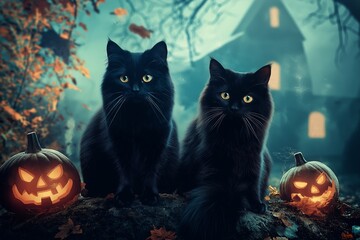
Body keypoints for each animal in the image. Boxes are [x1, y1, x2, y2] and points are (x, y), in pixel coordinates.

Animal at [80, 39, 179, 204]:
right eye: (124, 78)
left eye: (147, 78)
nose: (135, 90)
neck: (138, 118)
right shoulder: (118, 142)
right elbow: (124, 171)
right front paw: (124, 196)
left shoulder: (157, 143)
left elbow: (150, 172)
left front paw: (150, 196)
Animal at [179, 57, 274, 240]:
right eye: (225, 95)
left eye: (247, 99)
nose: (234, 108)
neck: (234, 137)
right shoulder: (212, 161)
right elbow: (214, 187)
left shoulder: (254, 159)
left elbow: (253, 184)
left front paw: (257, 205)